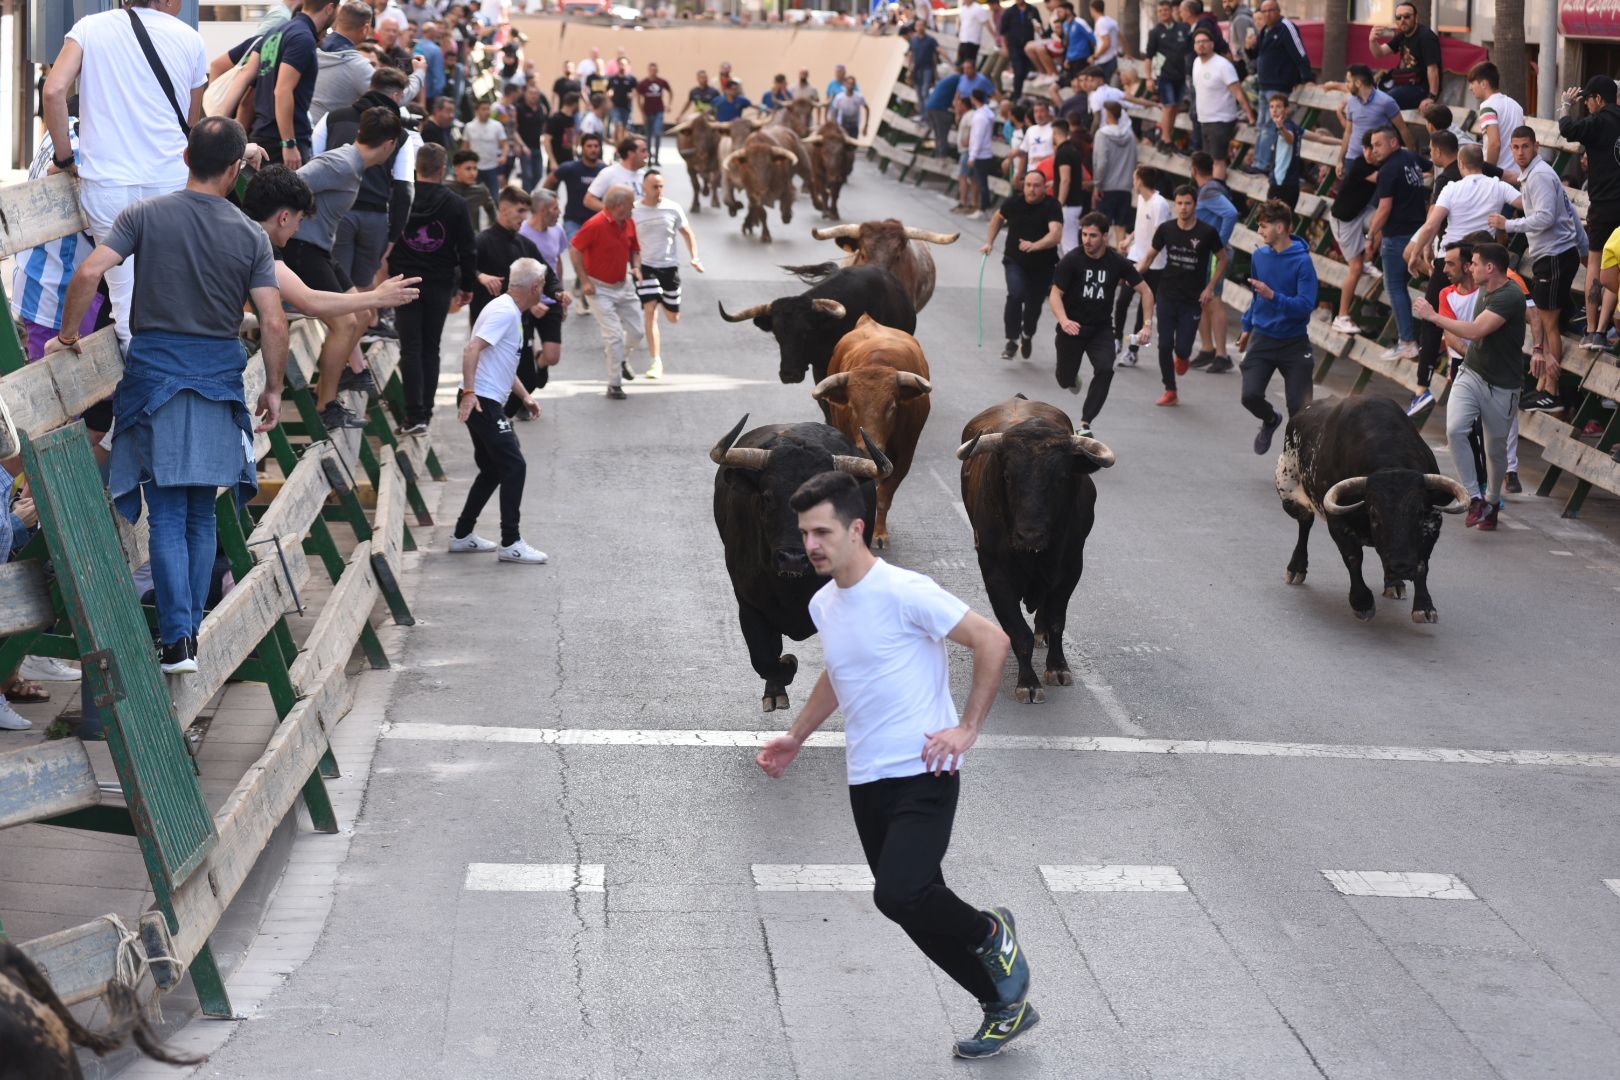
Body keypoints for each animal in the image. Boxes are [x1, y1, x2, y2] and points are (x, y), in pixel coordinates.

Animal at [816, 312, 933, 550]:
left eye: (892, 406)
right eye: (852, 405)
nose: (868, 448)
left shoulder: (905, 457)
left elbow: (884, 496)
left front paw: (879, 534)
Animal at [1276, 396, 1470, 621]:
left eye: (1419, 513)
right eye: (1374, 514)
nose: (1401, 566)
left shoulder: (1432, 523)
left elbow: (1422, 563)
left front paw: (1424, 606)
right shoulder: (1338, 522)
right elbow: (1353, 558)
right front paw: (1362, 602)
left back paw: (1395, 583)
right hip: (1289, 495)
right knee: (1305, 523)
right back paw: (1296, 567)